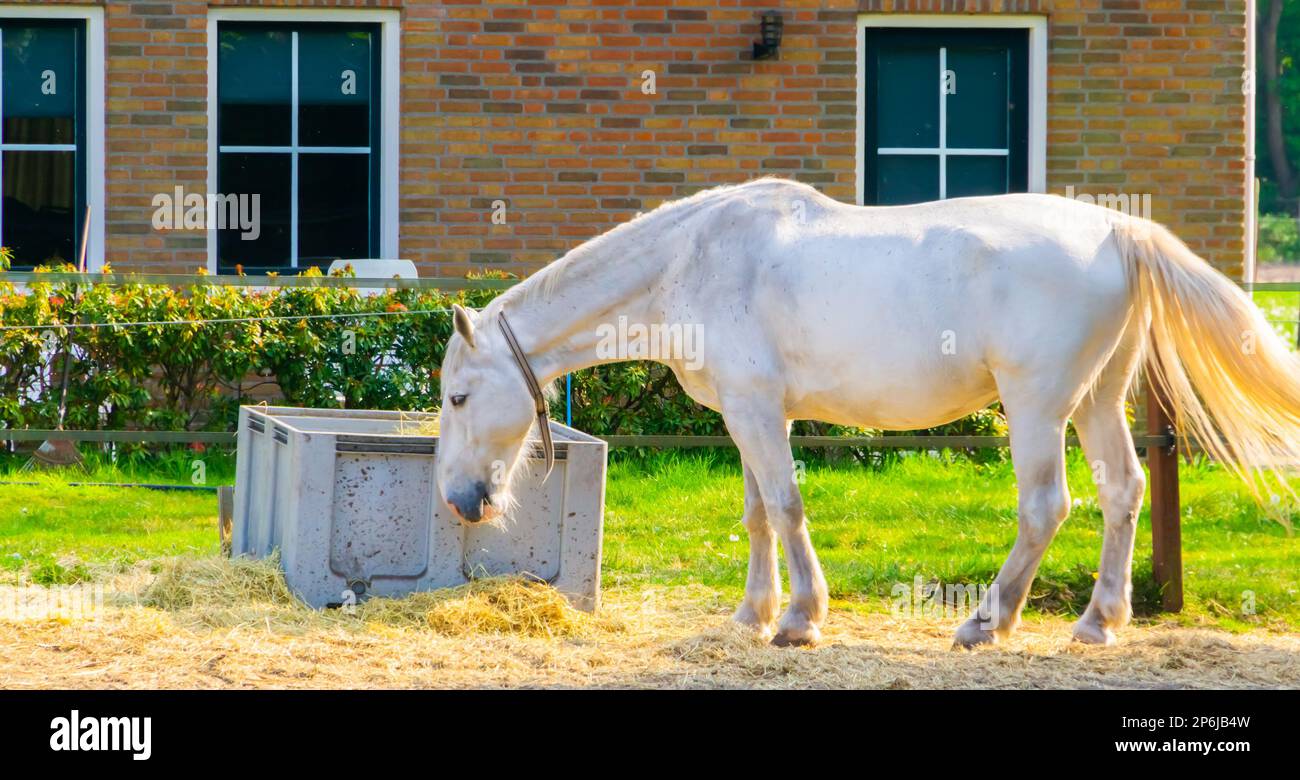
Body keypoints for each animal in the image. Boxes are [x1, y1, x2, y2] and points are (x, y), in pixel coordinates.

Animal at [434, 177, 1300, 648]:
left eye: (457, 396)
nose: (461, 500)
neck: (695, 259)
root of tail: (1119, 229)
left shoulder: (757, 414)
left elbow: (785, 508)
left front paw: (799, 619)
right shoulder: (752, 416)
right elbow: (758, 515)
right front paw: (753, 615)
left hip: (1037, 406)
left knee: (1047, 507)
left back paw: (985, 623)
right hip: (1097, 399)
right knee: (1123, 493)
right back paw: (1098, 623)